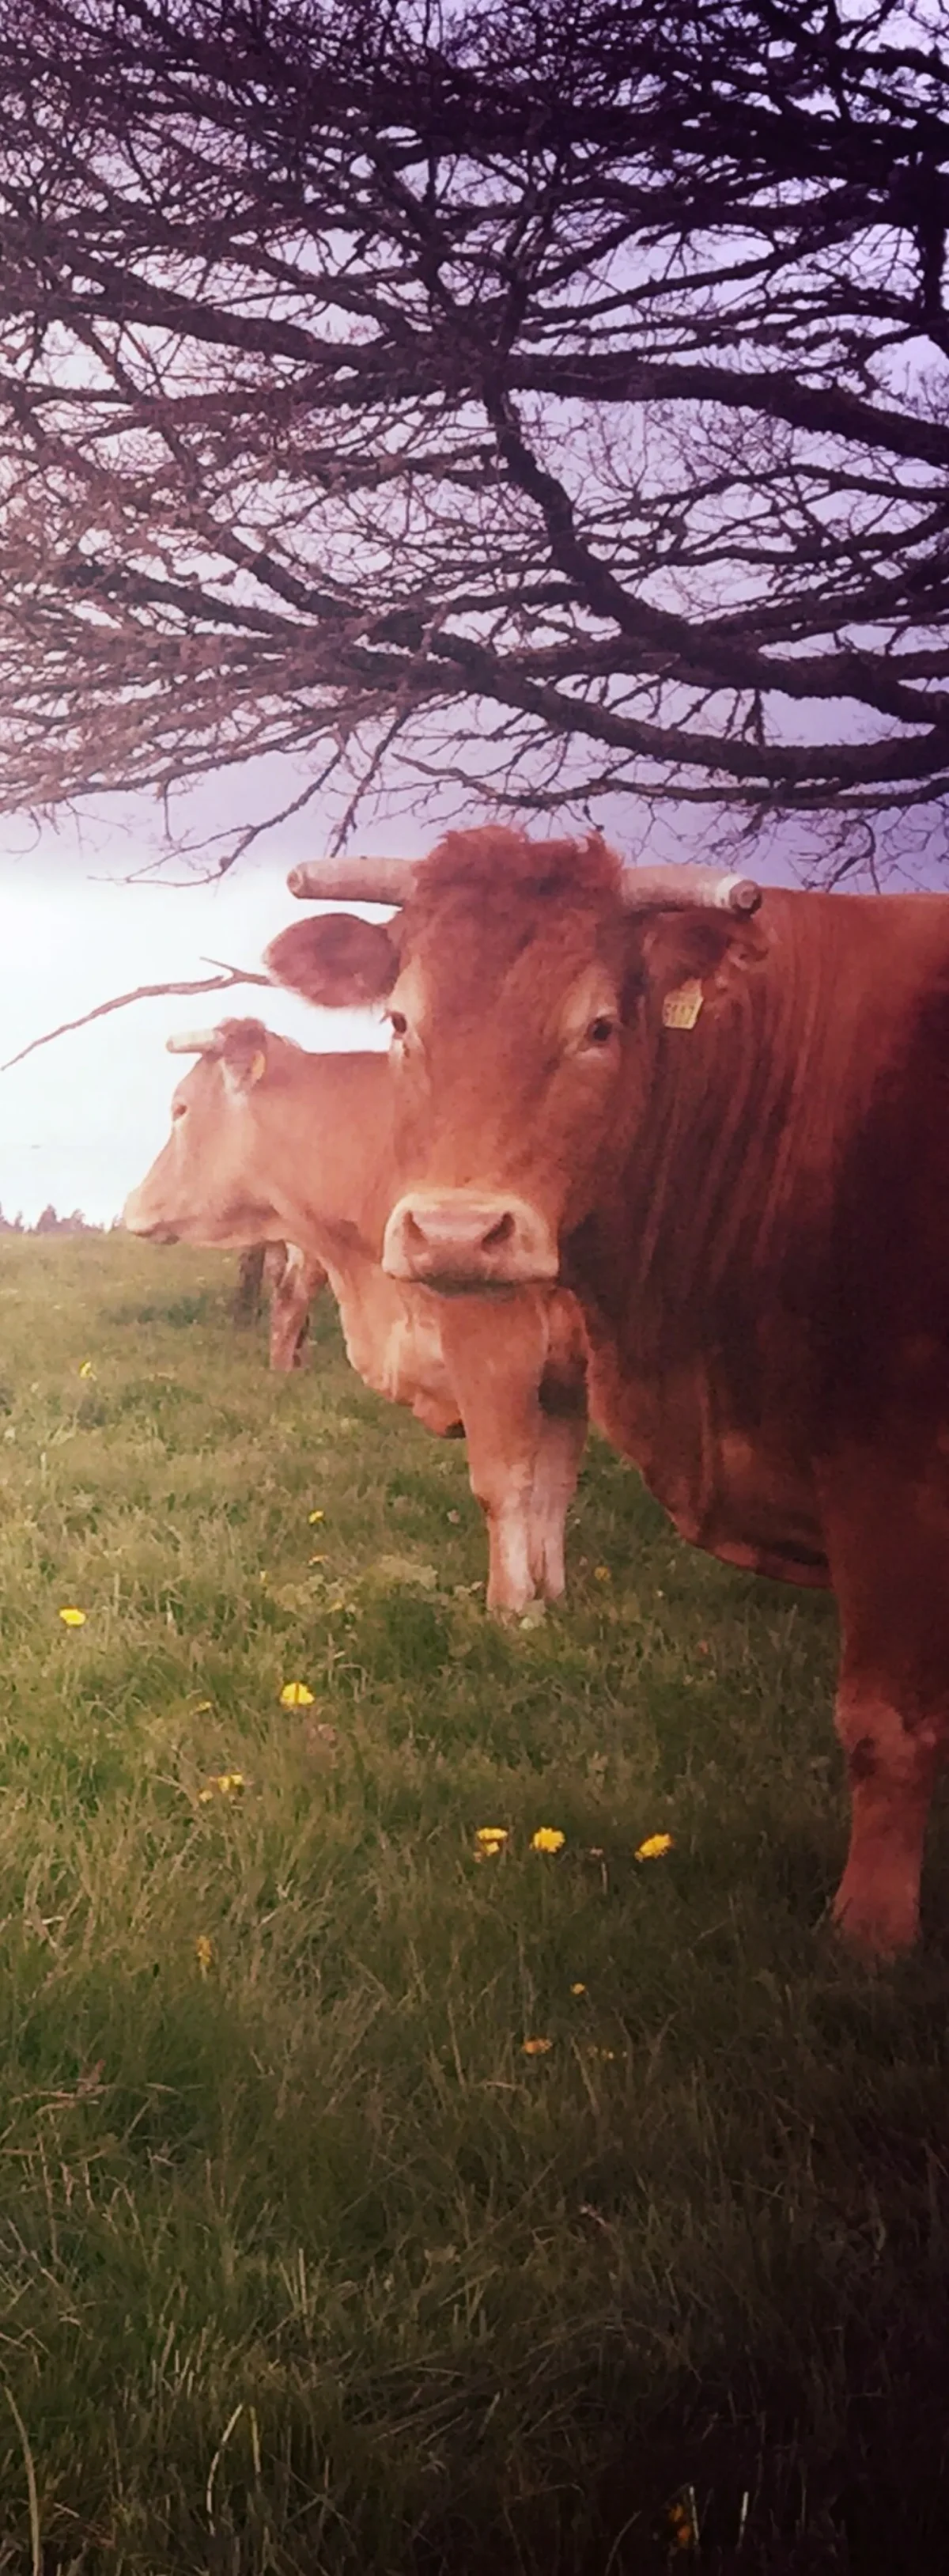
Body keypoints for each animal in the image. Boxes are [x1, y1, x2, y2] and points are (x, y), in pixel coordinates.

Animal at [122, 1019, 588, 1615]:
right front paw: (552, 1595)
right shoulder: (568, 1376)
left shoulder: (497, 1347)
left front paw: (509, 1609)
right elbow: (553, 1492)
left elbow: (503, 1487)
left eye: (179, 1108)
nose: (131, 1203)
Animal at [265, 826, 949, 1958]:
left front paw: (873, 1930)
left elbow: (884, 1721)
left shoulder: (892, 1473)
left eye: (598, 1026)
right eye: (402, 1020)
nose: (457, 1233)